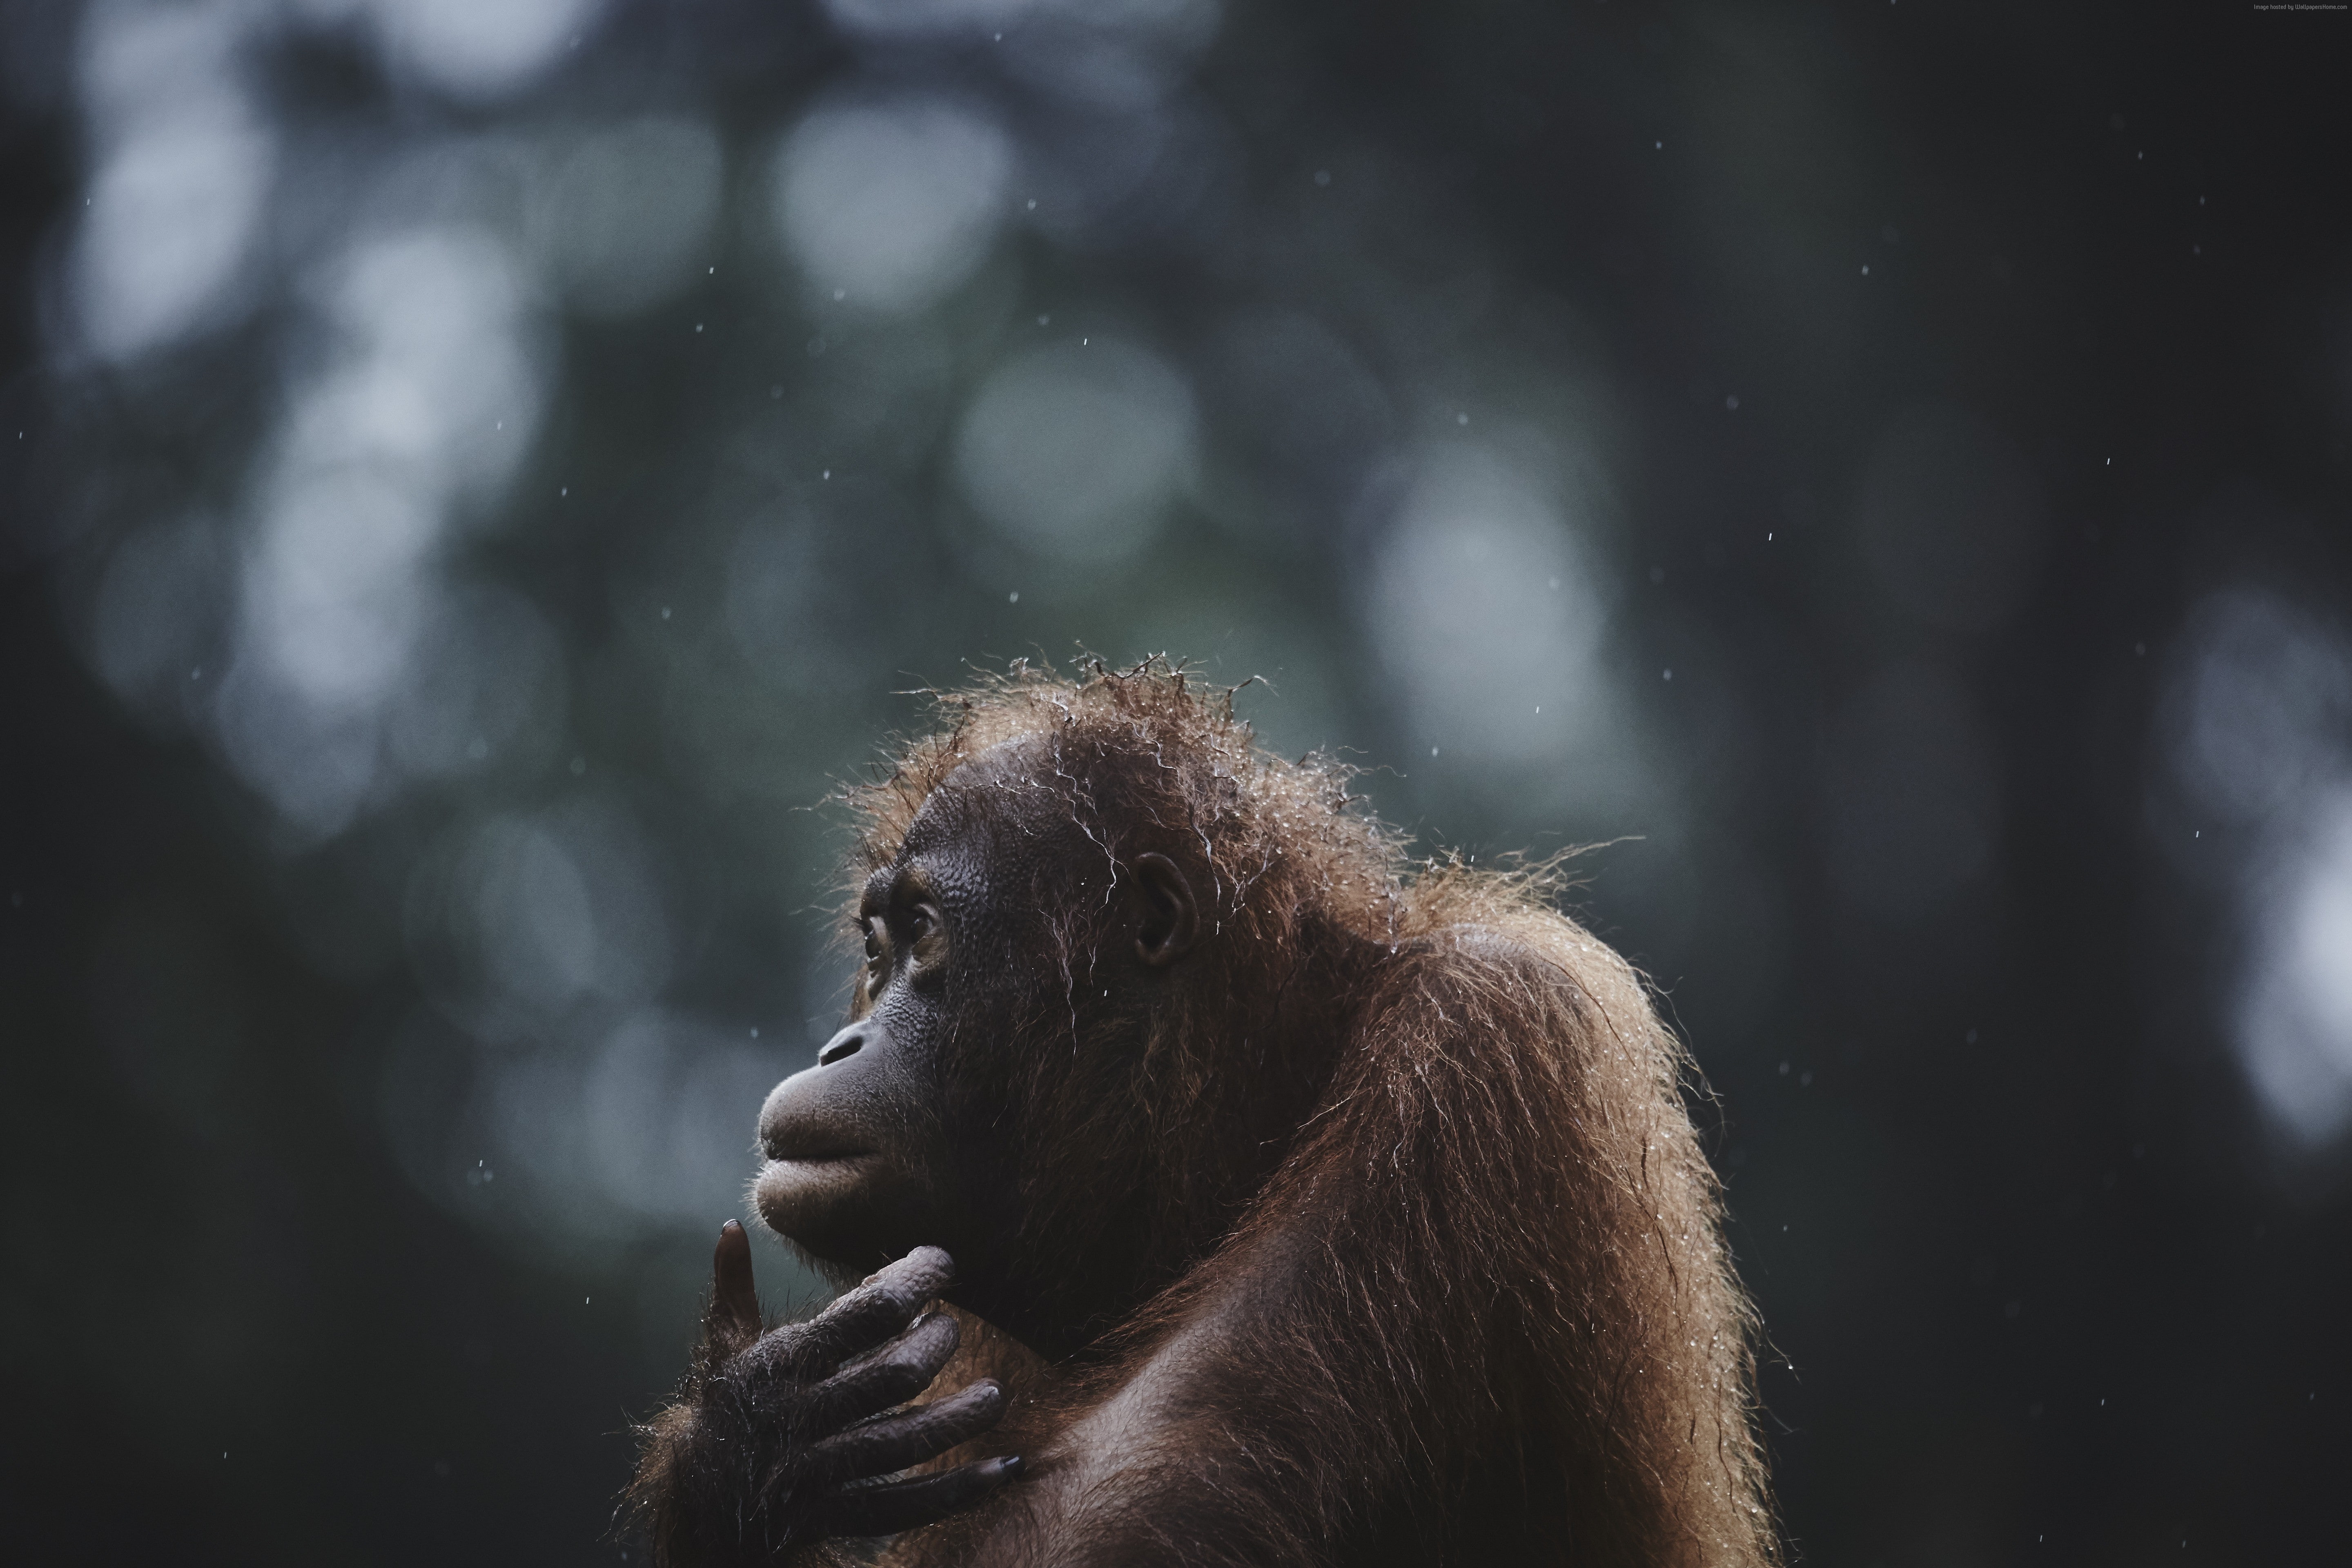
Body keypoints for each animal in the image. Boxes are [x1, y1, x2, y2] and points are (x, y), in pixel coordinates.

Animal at [629, 660, 1777, 1568]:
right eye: (876, 950)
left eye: (924, 934)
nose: (841, 1046)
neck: (1274, 1098)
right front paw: (747, 1455)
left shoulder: (1478, 1052)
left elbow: (1113, 1507)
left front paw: (759, 1453)